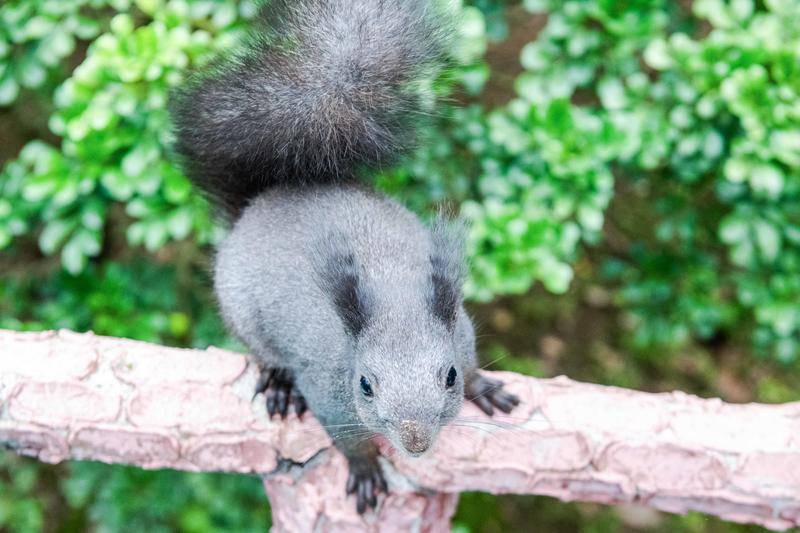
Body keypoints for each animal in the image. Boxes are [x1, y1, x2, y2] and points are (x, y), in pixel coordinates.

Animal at [169, 0, 520, 512]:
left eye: (450, 376)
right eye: (365, 385)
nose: (415, 442)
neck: (395, 299)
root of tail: (259, 205)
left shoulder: (462, 331)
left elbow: (475, 361)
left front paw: (484, 387)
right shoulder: (328, 388)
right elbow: (346, 438)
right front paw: (366, 467)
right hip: (242, 312)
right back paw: (279, 384)